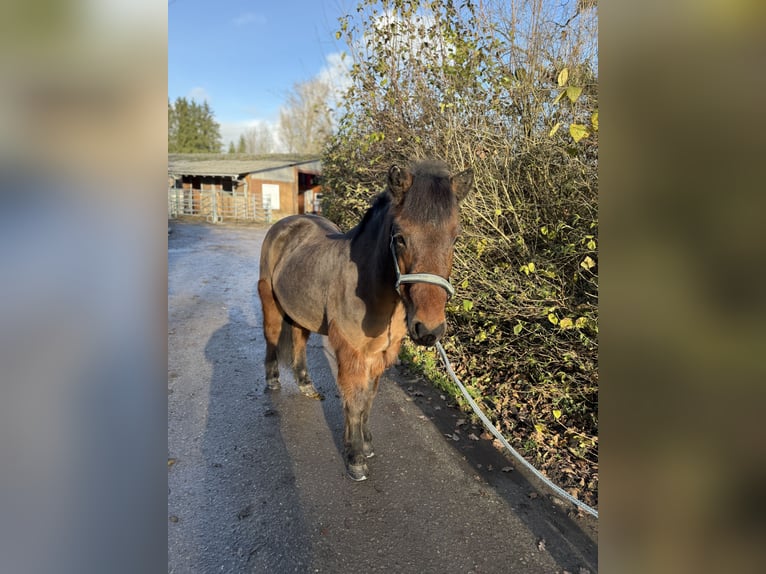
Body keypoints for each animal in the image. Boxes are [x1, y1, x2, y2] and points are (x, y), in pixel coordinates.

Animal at [257, 160, 473, 481]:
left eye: (455, 238)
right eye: (400, 237)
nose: (429, 329)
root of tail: (286, 224)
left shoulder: (382, 353)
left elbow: (368, 398)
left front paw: (364, 442)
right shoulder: (352, 351)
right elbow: (355, 401)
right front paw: (356, 457)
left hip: (300, 310)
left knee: (298, 340)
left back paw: (306, 384)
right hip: (270, 302)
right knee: (271, 335)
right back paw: (272, 380)